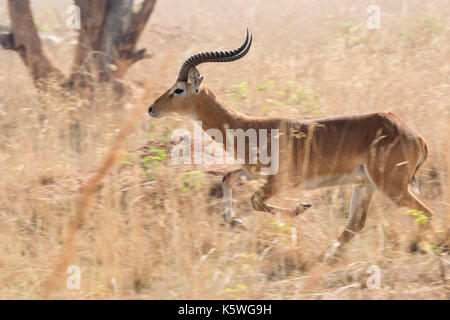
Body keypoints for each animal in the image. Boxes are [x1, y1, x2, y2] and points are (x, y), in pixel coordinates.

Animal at [149, 30, 434, 258]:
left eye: (178, 89)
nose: (151, 108)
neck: (251, 128)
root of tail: (417, 137)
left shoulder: (281, 181)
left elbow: (255, 200)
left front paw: (301, 207)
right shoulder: (253, 173)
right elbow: (227, 179)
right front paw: (236, 222)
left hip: (391, 186)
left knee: (426, 213)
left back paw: (420, 247)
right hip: (365, 186)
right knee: (355, 225)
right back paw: (327, 257)